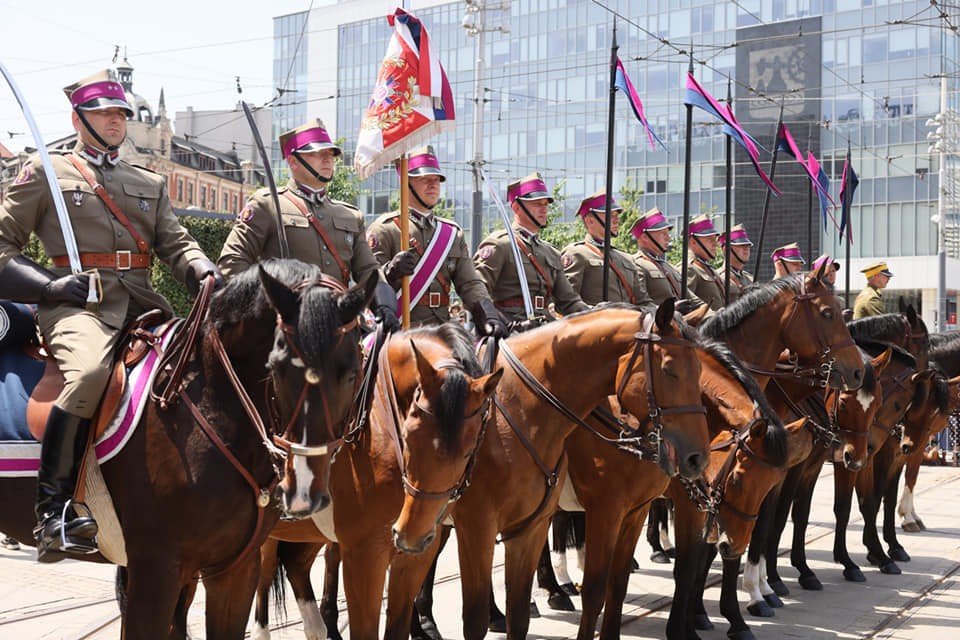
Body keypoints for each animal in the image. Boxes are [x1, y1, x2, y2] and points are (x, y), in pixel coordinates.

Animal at [0, 258, 376, 636]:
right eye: (276, 368)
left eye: (352, 372)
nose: (304, 492)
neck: (209, 398)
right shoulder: (155, 572)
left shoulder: (234, 571)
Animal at [251, 324, 502, 640]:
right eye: (408, 437)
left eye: (469, 451)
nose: (409, 535)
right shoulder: (364, 555)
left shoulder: (415, 557)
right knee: (264, 578)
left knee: (295, 565)